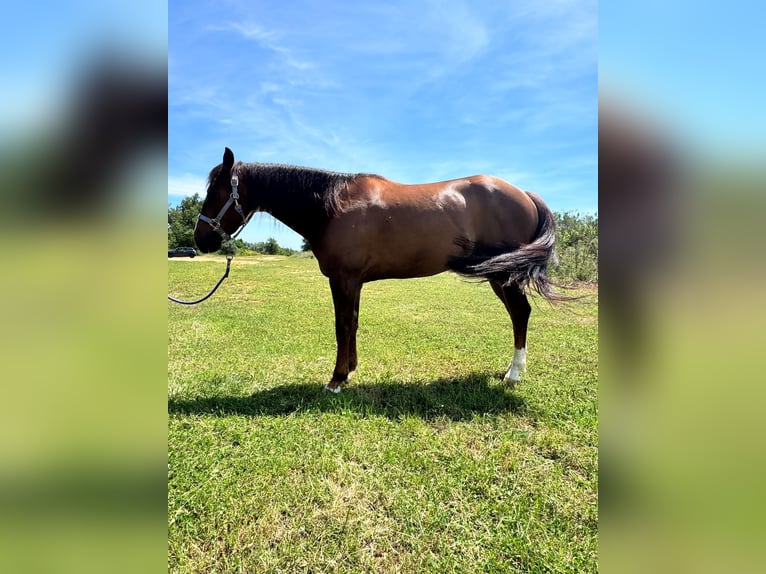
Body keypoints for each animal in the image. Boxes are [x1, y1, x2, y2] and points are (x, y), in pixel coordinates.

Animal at [194, 147, 560, 393]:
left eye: (217, 192)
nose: (200, 239)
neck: (332, 206)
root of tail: (525, 194)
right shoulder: (353, 282)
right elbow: (353, 323)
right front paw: (349, 370)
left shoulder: (344, 278)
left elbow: (342, 325)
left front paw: (336, 379)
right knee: (518, 314)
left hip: (504, 276)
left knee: (520, 313)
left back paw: (513, 374)